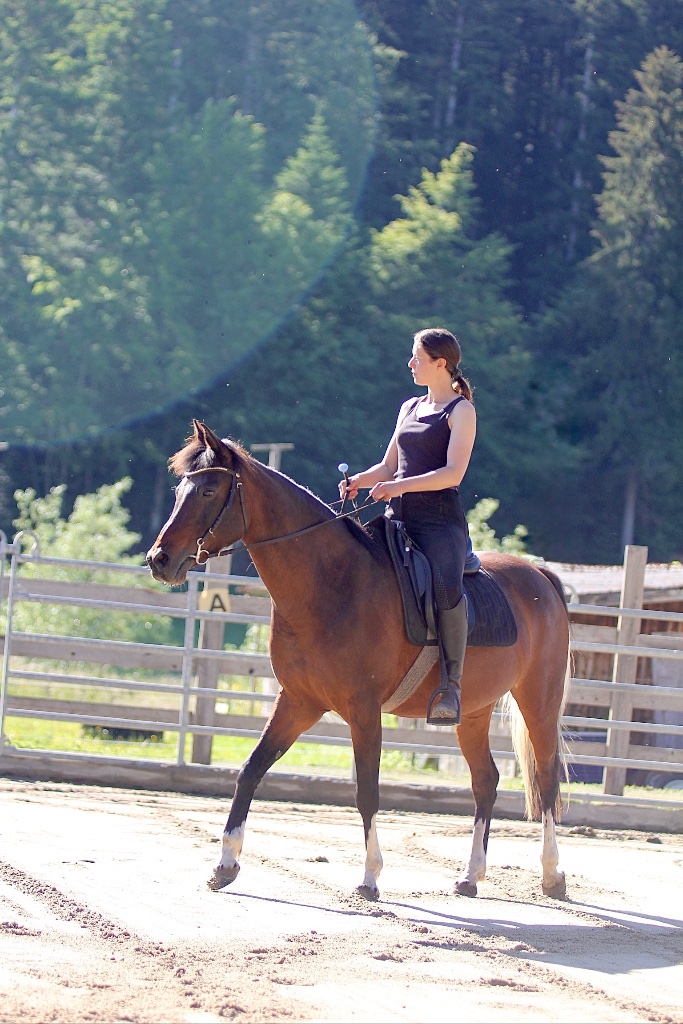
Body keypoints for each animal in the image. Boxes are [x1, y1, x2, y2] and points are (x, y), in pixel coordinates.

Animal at [147, 420, 570, 901]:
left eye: (207, 489)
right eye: (180, 489)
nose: (159, 560)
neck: (330, 583)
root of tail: (541, 575)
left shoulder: (364, 711)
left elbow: (366, 791)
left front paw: (370, 877)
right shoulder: (298, 702)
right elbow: (250, 771)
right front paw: (225, 863)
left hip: (539, 702)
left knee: (547, 778)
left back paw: (551, 874)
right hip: (474, 712)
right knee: (486, 781)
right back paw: (471, 876)